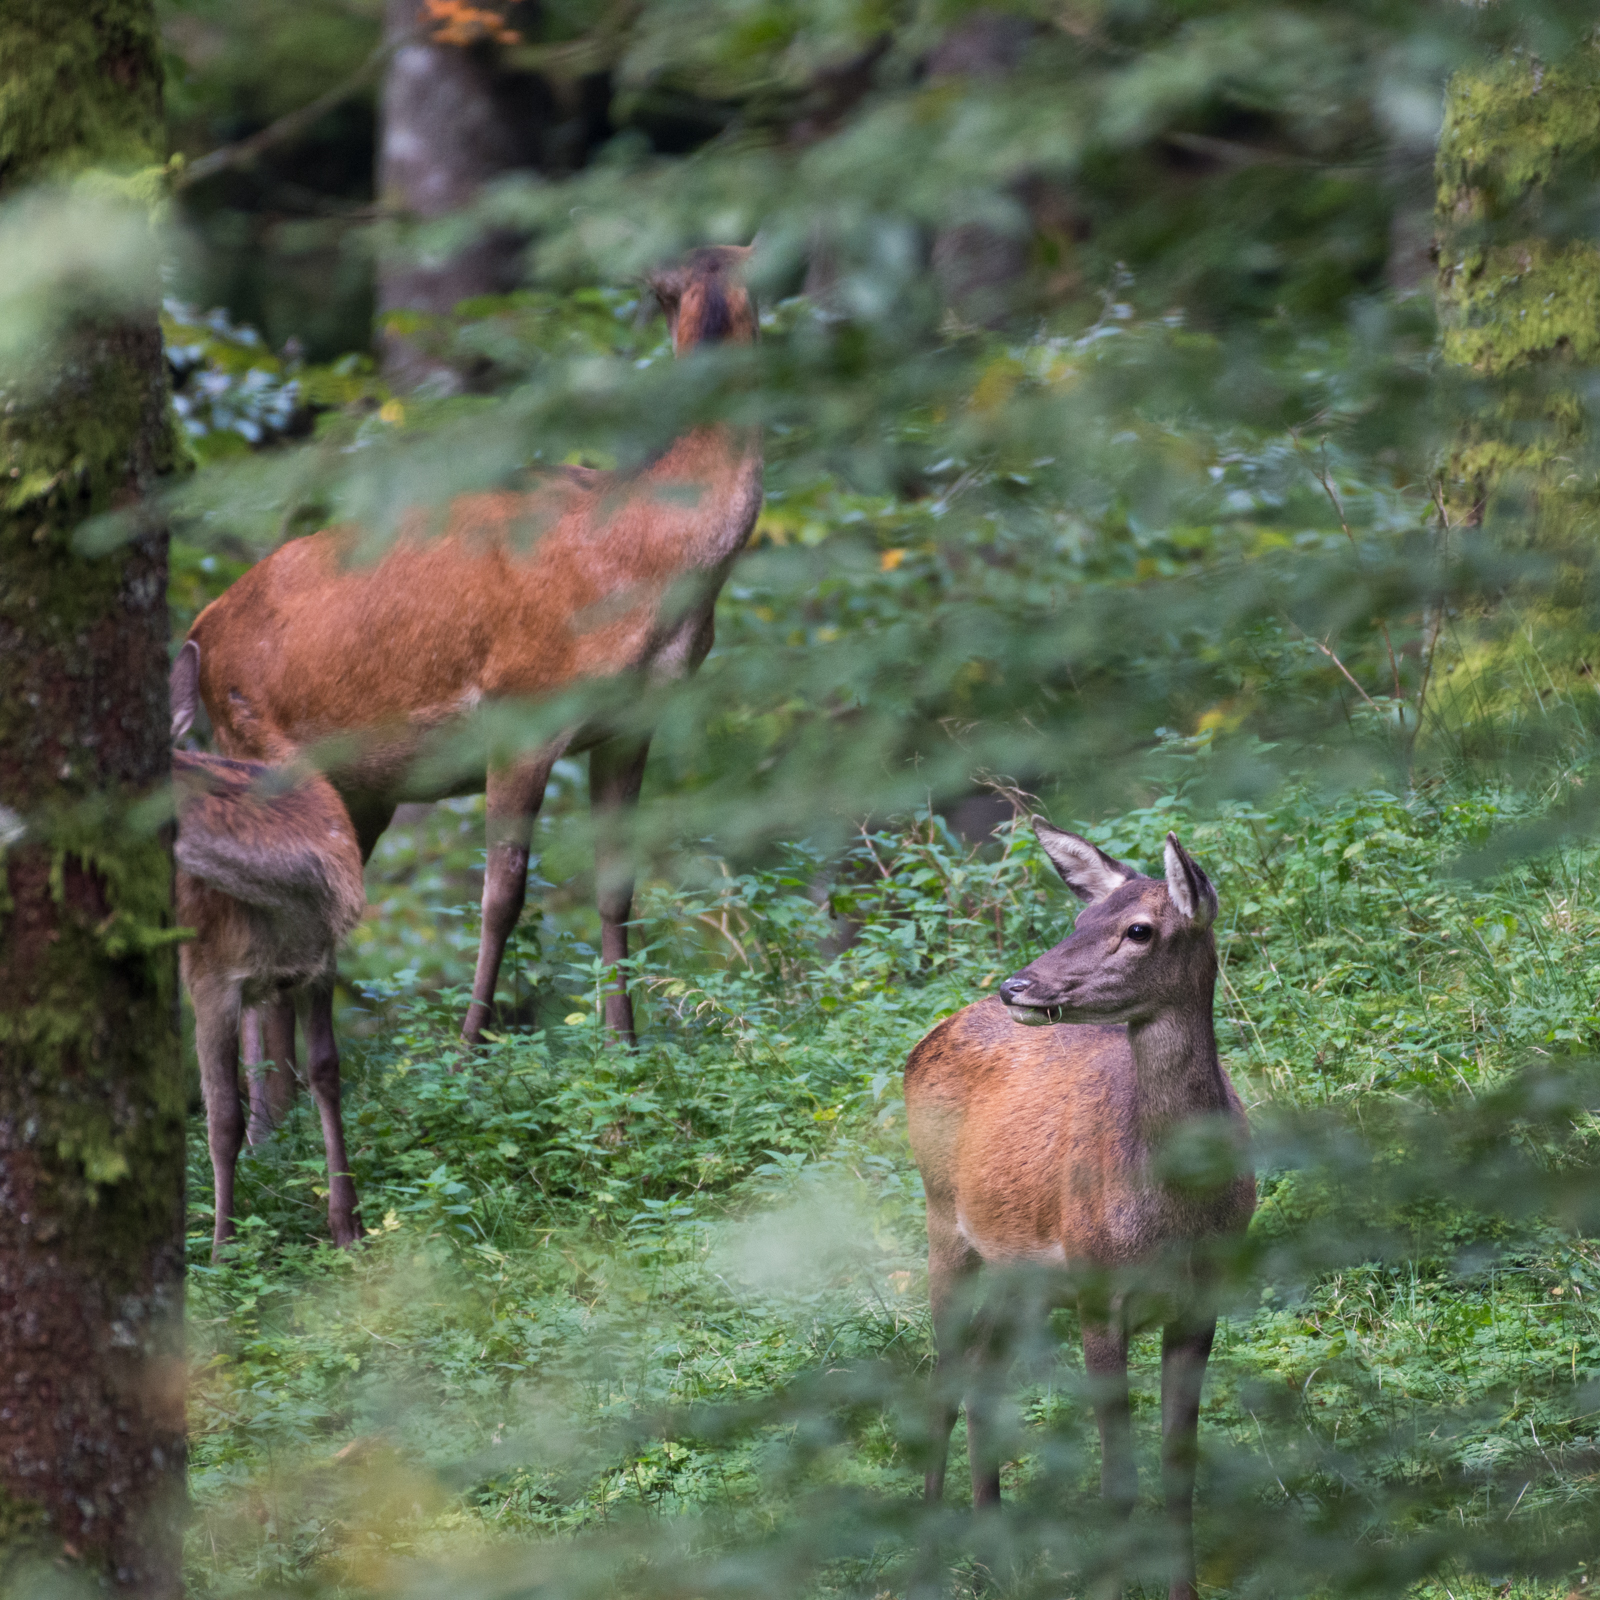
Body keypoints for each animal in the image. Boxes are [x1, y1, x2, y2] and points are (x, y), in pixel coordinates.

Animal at [170, 640, 366, 1260]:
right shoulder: (208, 975)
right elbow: (220, 1117)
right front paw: (221, 1250)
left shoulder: (321, 962)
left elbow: (325, 1070)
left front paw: (347, 1223)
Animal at [184, 246, 758, 1075]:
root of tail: (199, 631)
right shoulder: (522, 710)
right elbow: (501, 896)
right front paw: (468, 1055)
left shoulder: (630, 722)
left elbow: (617, 887)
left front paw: (625, 1046)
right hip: (260, 745)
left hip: (362, 790)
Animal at [908, 819, 1254, 1600]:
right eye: (1078, 921)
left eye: (1138, 929)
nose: (1017, 985)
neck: (1177, 1216)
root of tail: (934, 1031)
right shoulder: (1101, 1292)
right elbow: (1117, 1480)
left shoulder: (1204, 1300)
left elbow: (1179, 1471)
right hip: (944, 1221)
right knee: (942, 1377)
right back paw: (933, 1548)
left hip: (1025, 1276)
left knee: (983, 1371)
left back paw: (993, 1553)